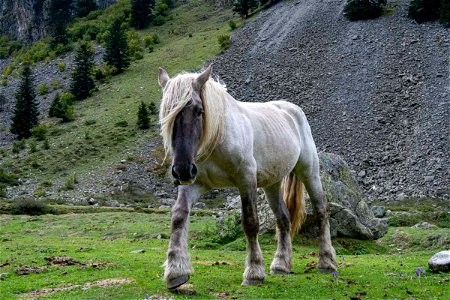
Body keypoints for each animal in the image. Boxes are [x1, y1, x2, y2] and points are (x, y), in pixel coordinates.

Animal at [156, 65, 336, 288]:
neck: (217, 138)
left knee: (321, 211)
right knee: (283, 219)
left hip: (309, 171)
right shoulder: (194, 183)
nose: (181, 170)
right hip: (272, 183)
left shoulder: (246, 180)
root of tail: (291, 110)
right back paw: (281, 264)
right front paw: (176, 271)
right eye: (166, 114)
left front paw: (254, 272)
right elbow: (179, 216)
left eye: (199, 111)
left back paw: (326, 262)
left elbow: (250, 223)